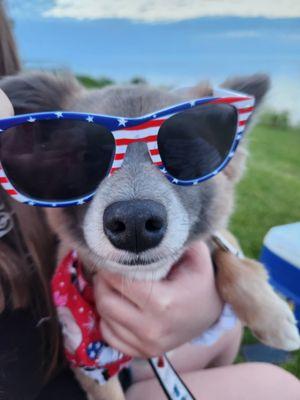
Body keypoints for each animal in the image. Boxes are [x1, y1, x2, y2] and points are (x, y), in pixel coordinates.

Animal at [1, 72, 298, 400]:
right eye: (87, 156)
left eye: (179, 151)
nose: (134, 222)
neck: (146, 280)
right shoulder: (89, 362)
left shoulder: (219, 238)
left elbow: (229, 254)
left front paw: (271, 314)